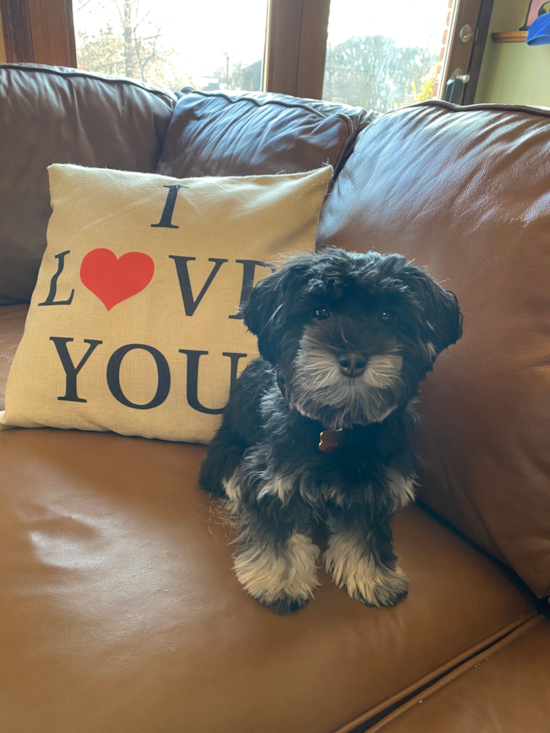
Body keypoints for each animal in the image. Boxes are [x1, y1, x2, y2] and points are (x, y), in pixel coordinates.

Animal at [201, 249, 464, 616]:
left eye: (387, 316)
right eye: (320, 312)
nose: (352, 358)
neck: (337, 425)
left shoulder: (377, 485)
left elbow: (367, 534)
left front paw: (374, 577)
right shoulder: (271, 479)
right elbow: (279, 531)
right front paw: (280, 582)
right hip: (228, 458)